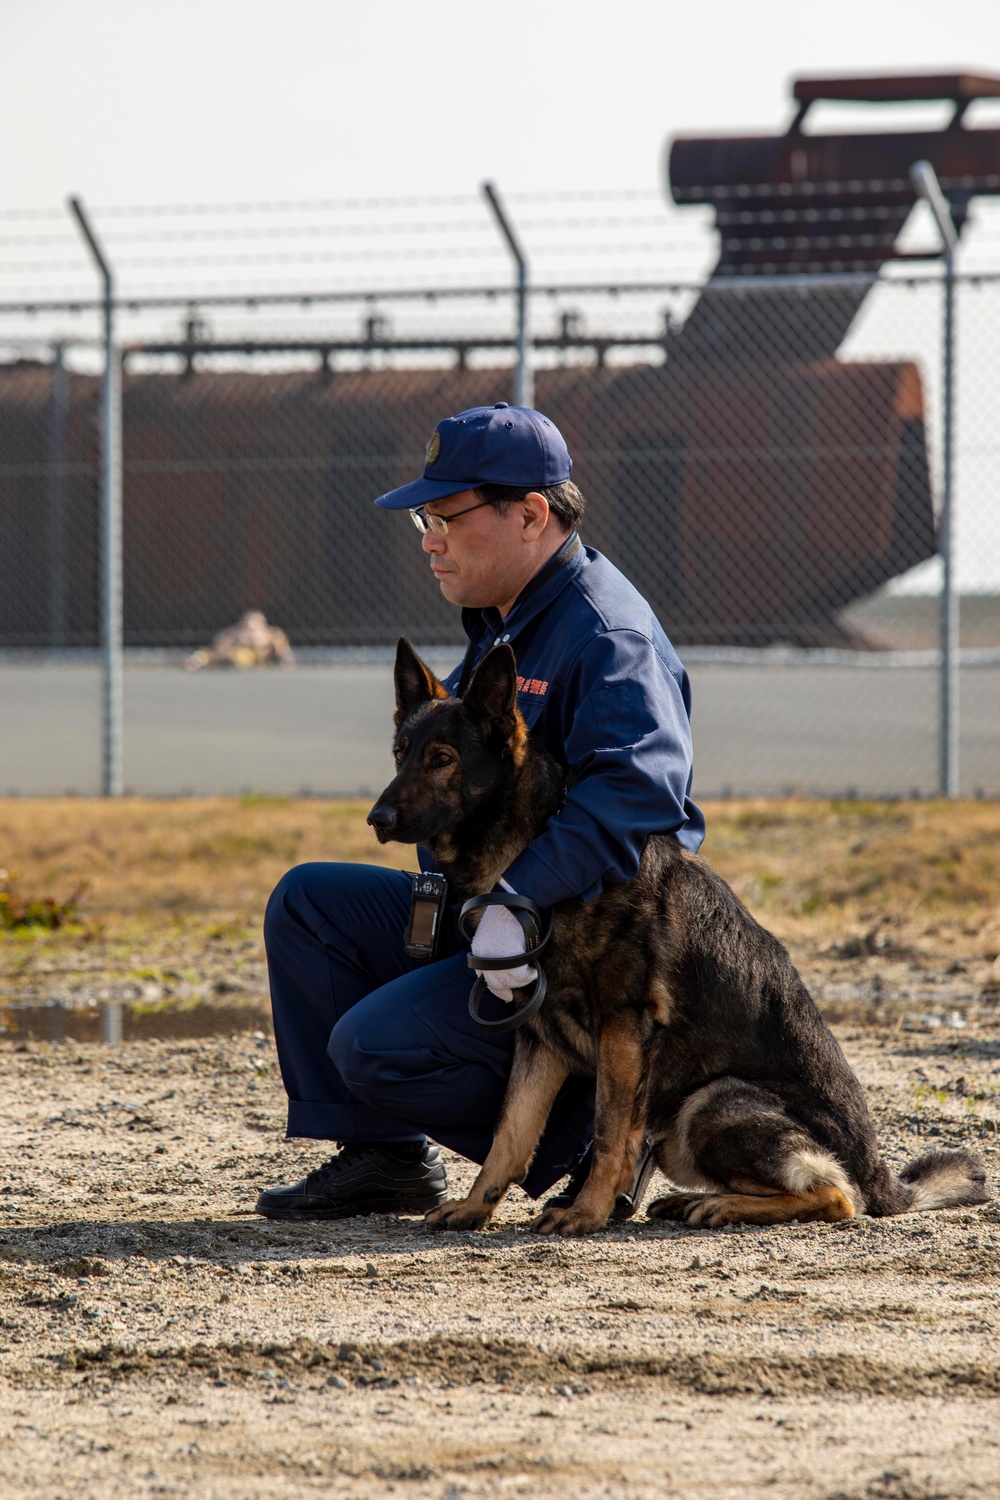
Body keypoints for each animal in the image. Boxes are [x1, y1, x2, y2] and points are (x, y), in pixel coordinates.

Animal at [365, 639, 983, 1236]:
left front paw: (585, 1213)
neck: (536, 851)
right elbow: (509, 1133)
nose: (377, 818)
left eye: (441, 759)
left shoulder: (621, 1030)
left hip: (711, 1103)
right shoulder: (538, 1039)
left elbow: (609, 1133)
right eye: (400, 754)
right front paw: (476, 1207)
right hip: (682, 1131)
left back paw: (722, 1206)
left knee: (835, 1195)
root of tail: (882, 1176)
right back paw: (693, 1200)